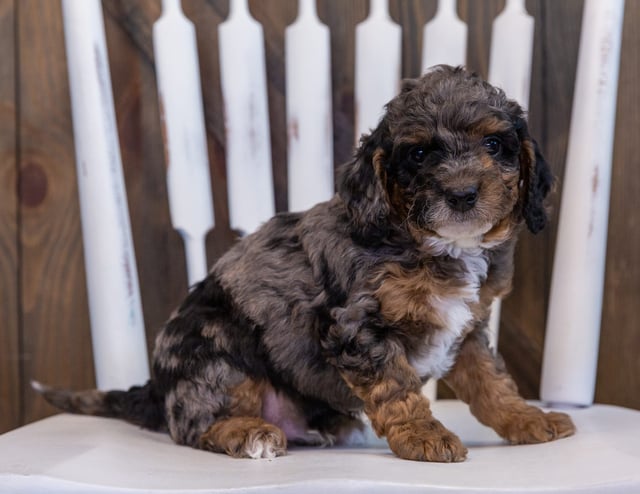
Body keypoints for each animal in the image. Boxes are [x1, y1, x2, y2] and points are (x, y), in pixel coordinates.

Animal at [35, 66, 576, 464]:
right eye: (419, 153)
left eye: (494, 145)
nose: (462, 194)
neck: (433, 244)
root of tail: (156, 391)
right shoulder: (357, 326)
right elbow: (397, 387)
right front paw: (424, 436)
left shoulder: (467, 328)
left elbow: (492, 382)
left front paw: (529, 420)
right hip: (216, 352)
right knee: (194, 425)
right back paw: (248, 433)